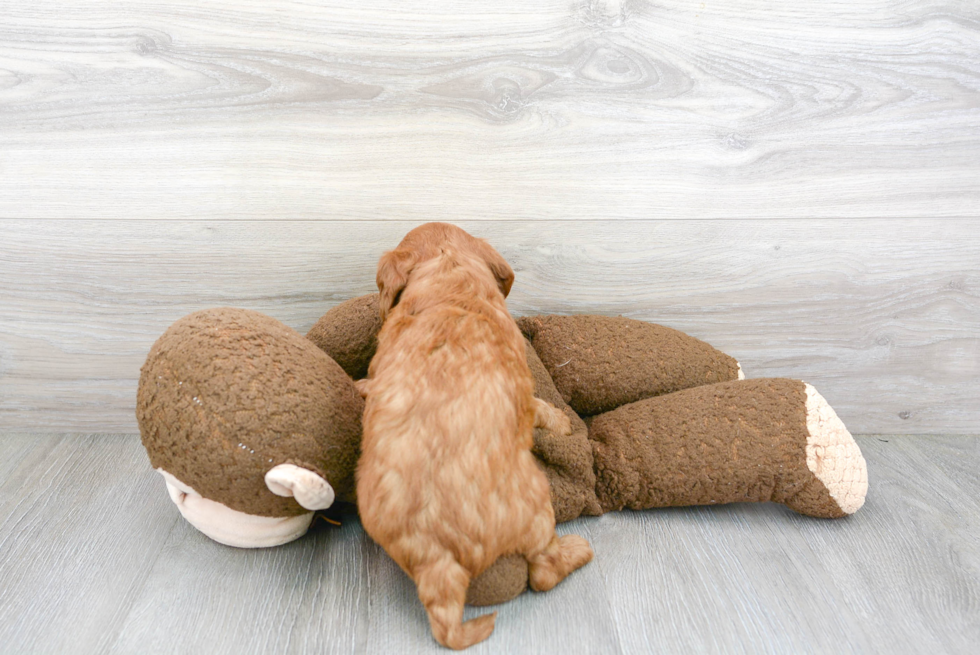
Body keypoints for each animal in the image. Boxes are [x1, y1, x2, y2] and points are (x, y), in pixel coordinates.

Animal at [356, 223, 592, 648]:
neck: (450, 278)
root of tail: (436, 553)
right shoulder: (524, 390)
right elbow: (541, 408)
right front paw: (563, 423)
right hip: (537, 505)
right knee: (544, 571)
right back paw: (577, 550)